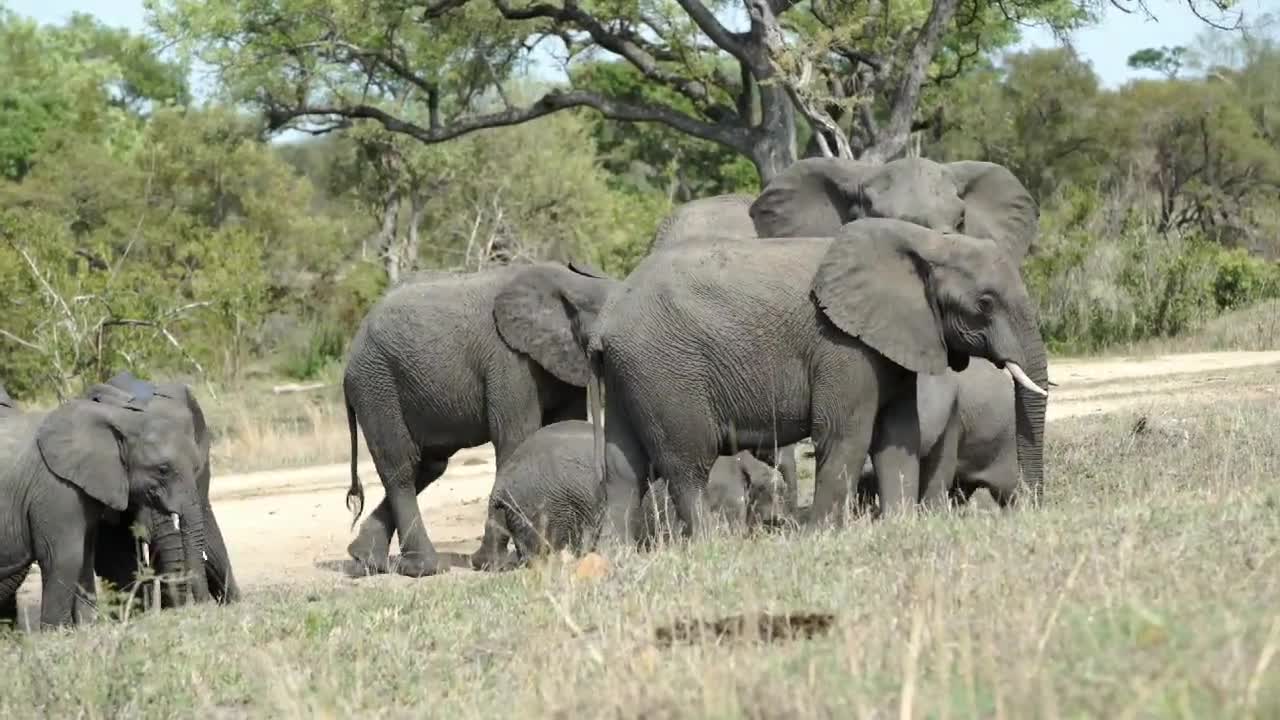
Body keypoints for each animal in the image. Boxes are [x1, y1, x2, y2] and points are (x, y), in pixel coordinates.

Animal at [343, 260, 616, 573]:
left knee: (429, 466)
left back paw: (364, 558)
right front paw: (491, 565)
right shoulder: (509, 360)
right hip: (376, 385)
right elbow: (515, 439)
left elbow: (561, 424)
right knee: (401, 469)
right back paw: (424, 569)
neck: (571, 283)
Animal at [588, 219, 1049, 543]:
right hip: (667, 373)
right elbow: (846, 437)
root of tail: (605, 323)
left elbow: (897, 437)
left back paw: (615, 556)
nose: (1032, 505)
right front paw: (821, 536)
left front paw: (899, 526)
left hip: (633, 374)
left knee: (623, 470)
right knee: (687, 465)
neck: (925, 241)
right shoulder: (841, 344)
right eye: (985, 303)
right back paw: (711, 546)